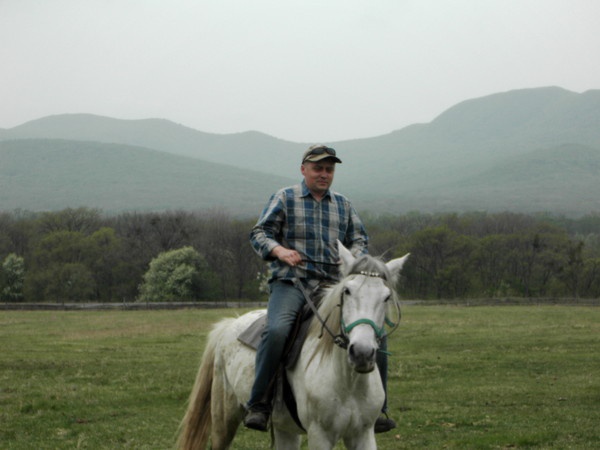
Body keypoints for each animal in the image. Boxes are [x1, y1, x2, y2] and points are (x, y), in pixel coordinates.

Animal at [177, 243, 408, 450]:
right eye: (347, 291)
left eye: (386, 297)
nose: (361, 353)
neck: (347, 382)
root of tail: (229, 324)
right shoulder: (319, 435)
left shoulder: (363, 434)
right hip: (224, 420)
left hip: (284, 428)